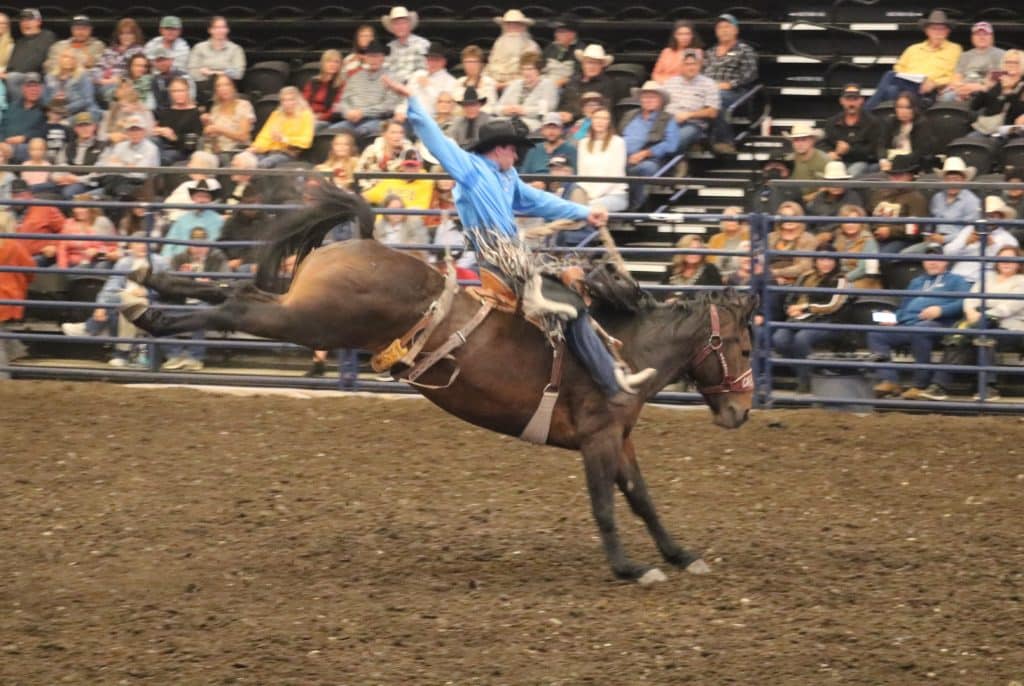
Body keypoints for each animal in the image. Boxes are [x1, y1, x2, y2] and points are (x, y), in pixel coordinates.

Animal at [123, 186, 757, 585]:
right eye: (746, 348)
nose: (742, 412)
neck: (626, 349)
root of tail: (366, 242)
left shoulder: (621, 439)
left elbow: (643, 500)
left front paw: (681, 555)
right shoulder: (599, 440)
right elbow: (605, 504)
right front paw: (631, 568)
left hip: (300, 307)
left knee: (237, 293)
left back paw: (148, 283)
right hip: (309, 319)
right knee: (237, 304)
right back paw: (146, 310)